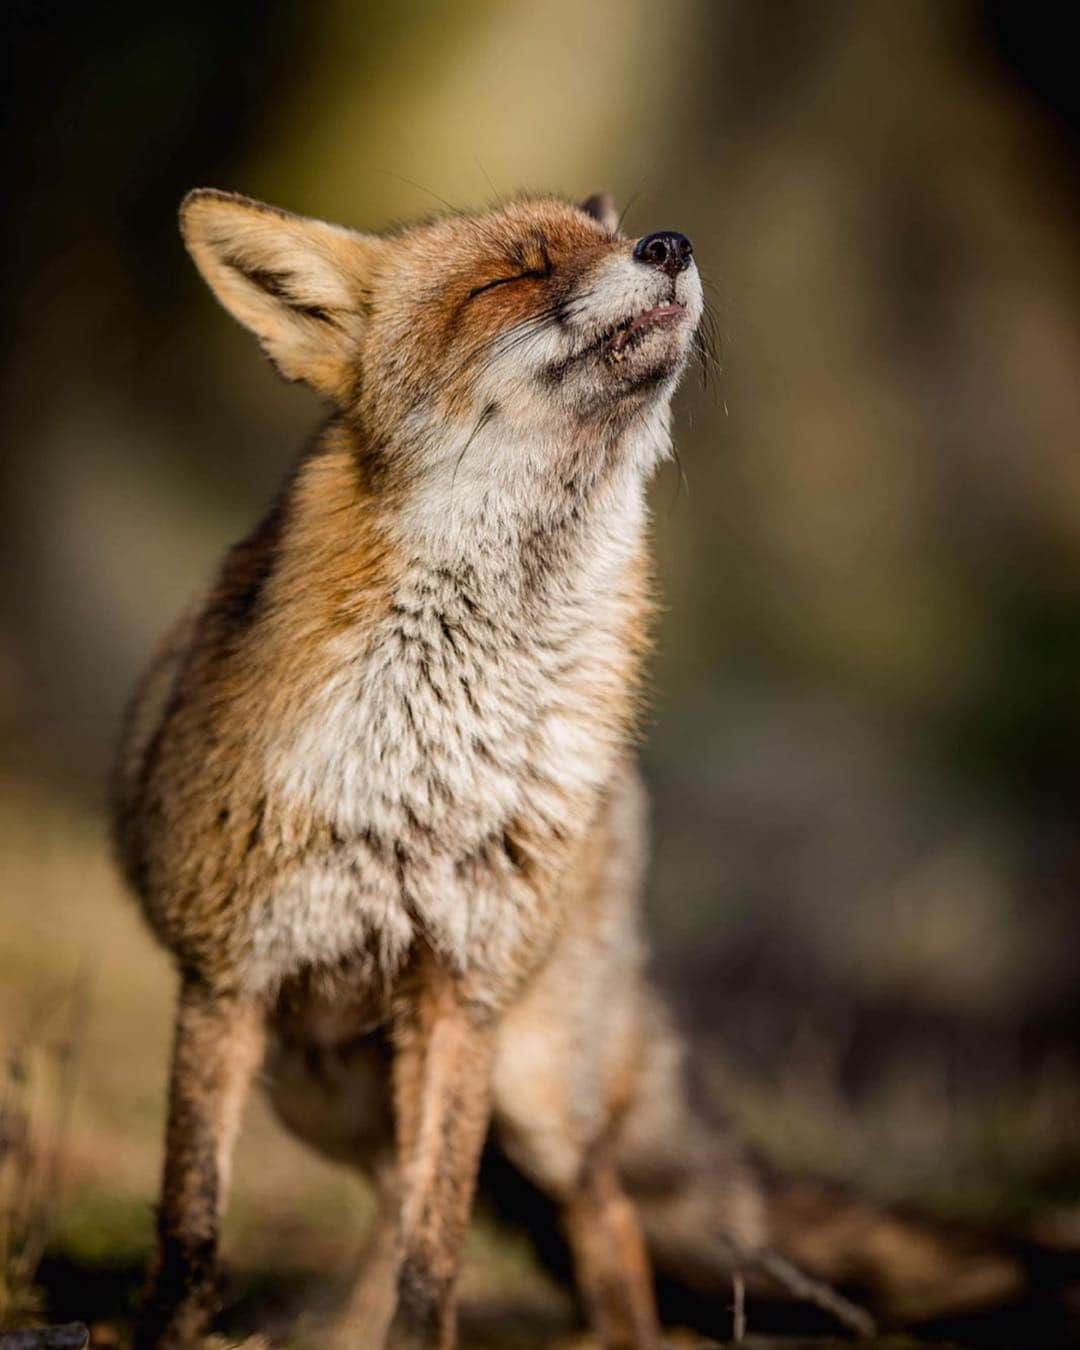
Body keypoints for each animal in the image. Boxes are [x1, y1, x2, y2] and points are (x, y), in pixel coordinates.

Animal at [114, 184, 1026, 1344]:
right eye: (509, 277)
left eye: (611, 239)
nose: (670, 244)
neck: (440, 750)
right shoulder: (225, 984)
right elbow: (193, 1232)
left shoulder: (460, 997)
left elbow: (437, 1256)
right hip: (315, 1086)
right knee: (392, 1196)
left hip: (533, 1090)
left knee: (601, 1214)